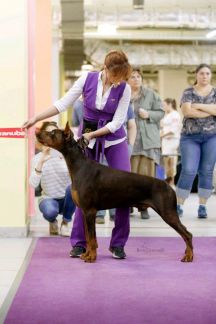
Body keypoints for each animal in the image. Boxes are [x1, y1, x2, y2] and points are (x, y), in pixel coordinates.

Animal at [35, 122, 194, 264]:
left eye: (52, 133)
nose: (36, 131)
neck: (79, 166)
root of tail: (168, 186)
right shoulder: (85, 212)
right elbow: (88, 237)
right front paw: (86, 254)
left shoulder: (90, 211)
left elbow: (92, 238)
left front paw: (91, 257)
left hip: (168, 212)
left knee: (187, 234)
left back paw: (189, 256)